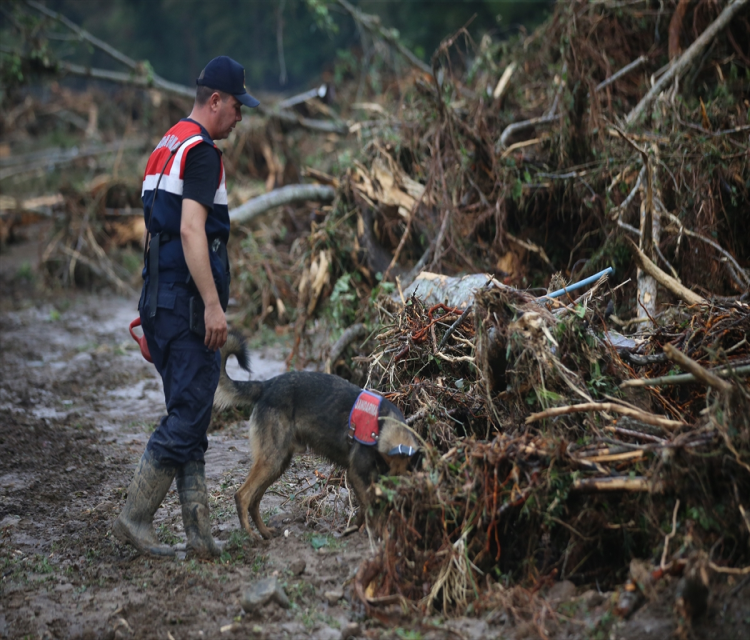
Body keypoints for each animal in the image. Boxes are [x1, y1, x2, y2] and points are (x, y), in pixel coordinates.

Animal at [214, 336, 420, 540]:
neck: (385, 428)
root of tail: (266, 385)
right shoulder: (357, 475)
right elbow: (370, 509)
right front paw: (375, 533)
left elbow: (365, 509)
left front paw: (357, 530)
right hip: (271, 461)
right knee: (242, 496)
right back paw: (250, 535)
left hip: (278, 463)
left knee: (254, 500)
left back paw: (264, 532)